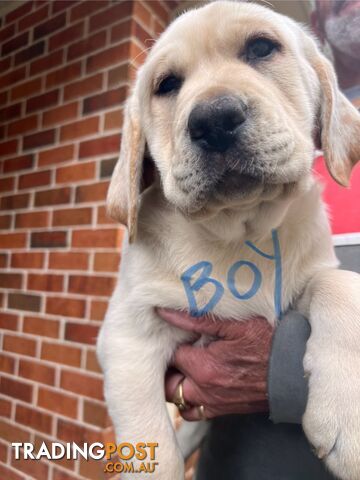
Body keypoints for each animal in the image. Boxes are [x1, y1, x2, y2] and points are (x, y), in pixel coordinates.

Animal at [97, 1, 360, 478]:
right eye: (167, 85)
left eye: (261, 48)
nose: (213, 120)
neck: (239, 228)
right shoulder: (127, 335)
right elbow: (152, 441)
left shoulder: (311, 274)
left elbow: (340, 282)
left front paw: (347, 415)